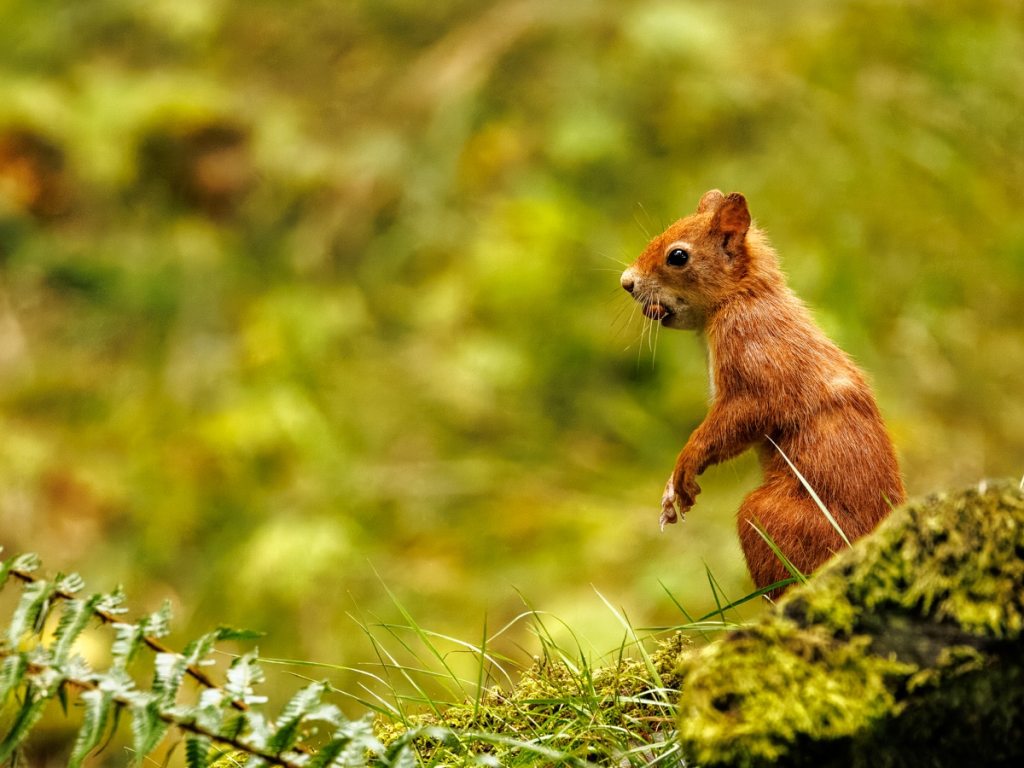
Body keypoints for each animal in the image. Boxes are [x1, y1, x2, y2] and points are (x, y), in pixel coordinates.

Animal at [620, 190, 905, 595]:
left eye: (678, 256)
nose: (626, 282)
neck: (745, 296)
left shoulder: (754, 359)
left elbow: (739, 420)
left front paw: (683, 470)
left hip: (773, 519)